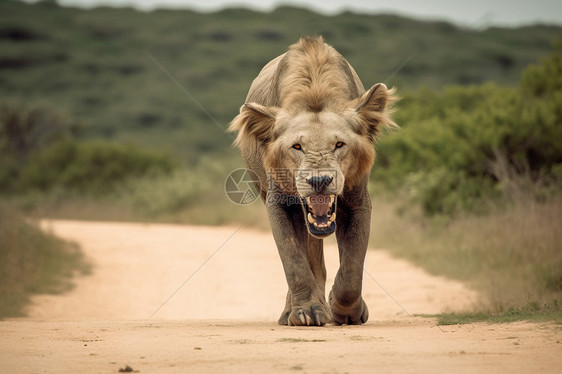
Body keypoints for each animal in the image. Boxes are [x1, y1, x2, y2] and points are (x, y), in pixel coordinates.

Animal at [228, 36, 394, 326]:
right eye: (297, 146)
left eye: (339, 144)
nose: (319, 180)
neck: (314, 92)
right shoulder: (279, 202)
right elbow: (294, 262)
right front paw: (307, 310)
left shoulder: (358, 199)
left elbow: (353, 268)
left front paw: (345, 310)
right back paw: (292, 311)